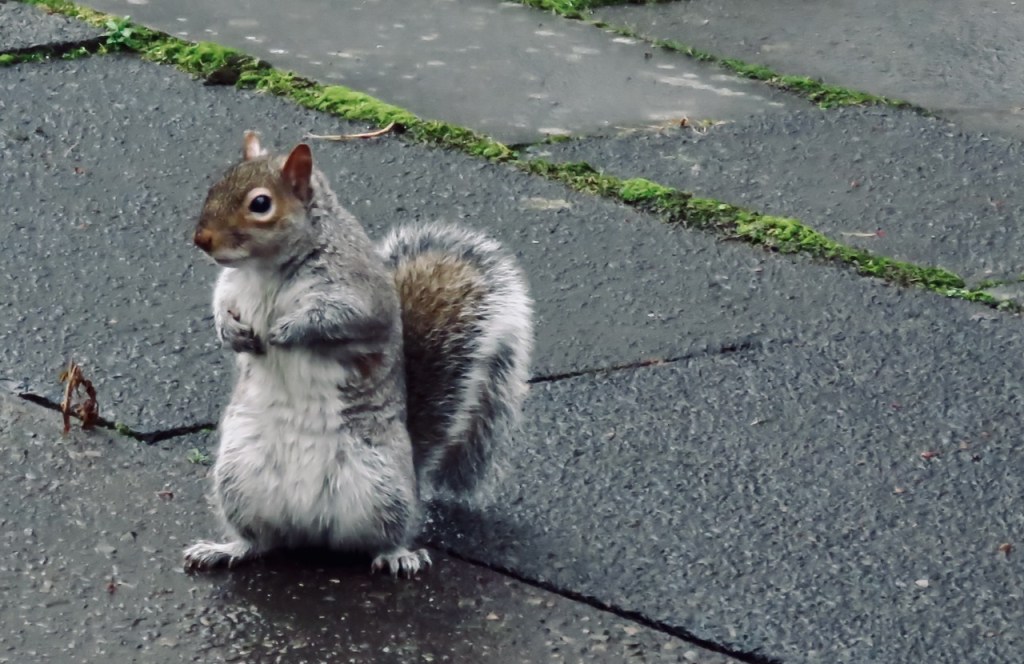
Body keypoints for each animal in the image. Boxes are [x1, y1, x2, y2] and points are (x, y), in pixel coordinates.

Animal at [183, 132, 533, 576]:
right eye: (216, 184)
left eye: (260, 204)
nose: (201, 239)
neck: (267, 269)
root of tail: (310, 530)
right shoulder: (233, 285)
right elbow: (220, 303)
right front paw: (231, 332)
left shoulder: (360, 293)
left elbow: (342, 317)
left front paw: (287, 331)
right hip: (238, 478)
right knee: (260, 540)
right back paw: (224, 549)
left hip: (382, 486)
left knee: (383, 536)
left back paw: (398, 556)